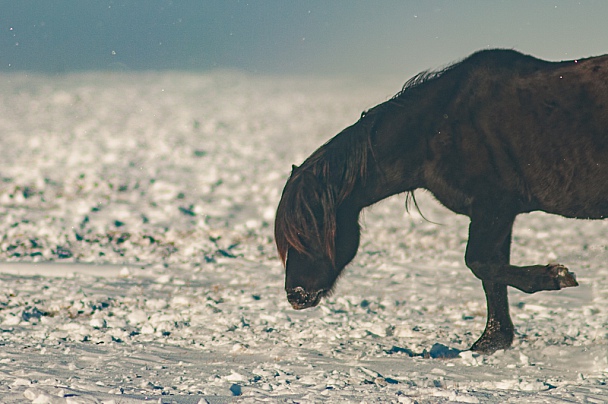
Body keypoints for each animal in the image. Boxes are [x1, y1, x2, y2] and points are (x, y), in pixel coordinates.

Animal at [276, 49, 608, 354]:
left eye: (307, 231)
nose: (296, 295)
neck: (436, 129)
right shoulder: (497, 214)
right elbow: (492, 272)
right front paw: (491, 342)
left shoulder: (493, 208)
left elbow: (480, 263)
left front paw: (556, 277)